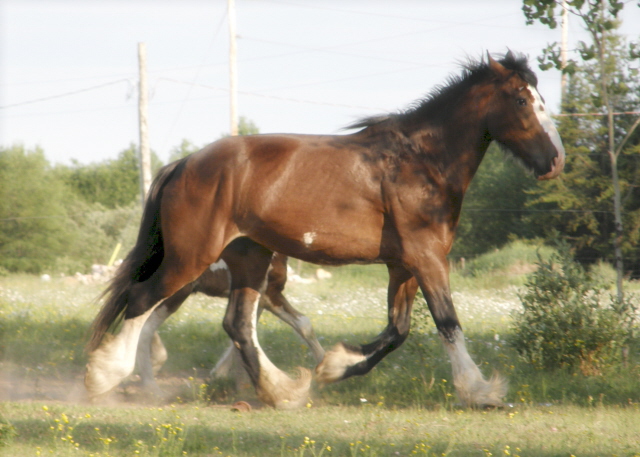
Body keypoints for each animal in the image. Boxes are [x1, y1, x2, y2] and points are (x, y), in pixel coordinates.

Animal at [135, 242, 324, 396]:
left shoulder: (259, 300)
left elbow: (244, 331)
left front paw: (218, 374)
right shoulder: (271, 295)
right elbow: (303, 324)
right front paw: (326, 366)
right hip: (176, 294)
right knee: (144, 325)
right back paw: (151, 384)